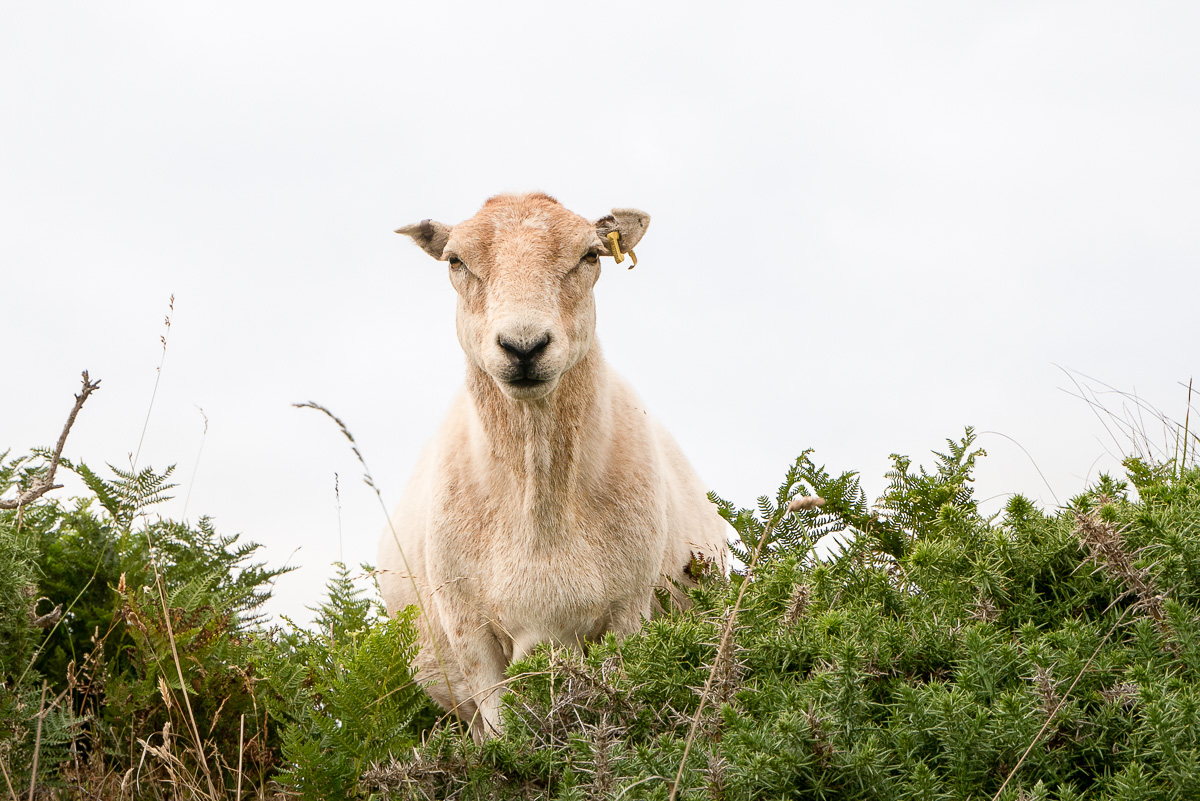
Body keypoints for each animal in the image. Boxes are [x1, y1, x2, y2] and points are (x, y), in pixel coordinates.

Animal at [378, 192, 729, 739]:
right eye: (455, 261)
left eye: (589, 255)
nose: (524, 346)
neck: (538, 501)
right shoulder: (469, 633)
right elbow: (500, 733)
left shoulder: (628, 612)